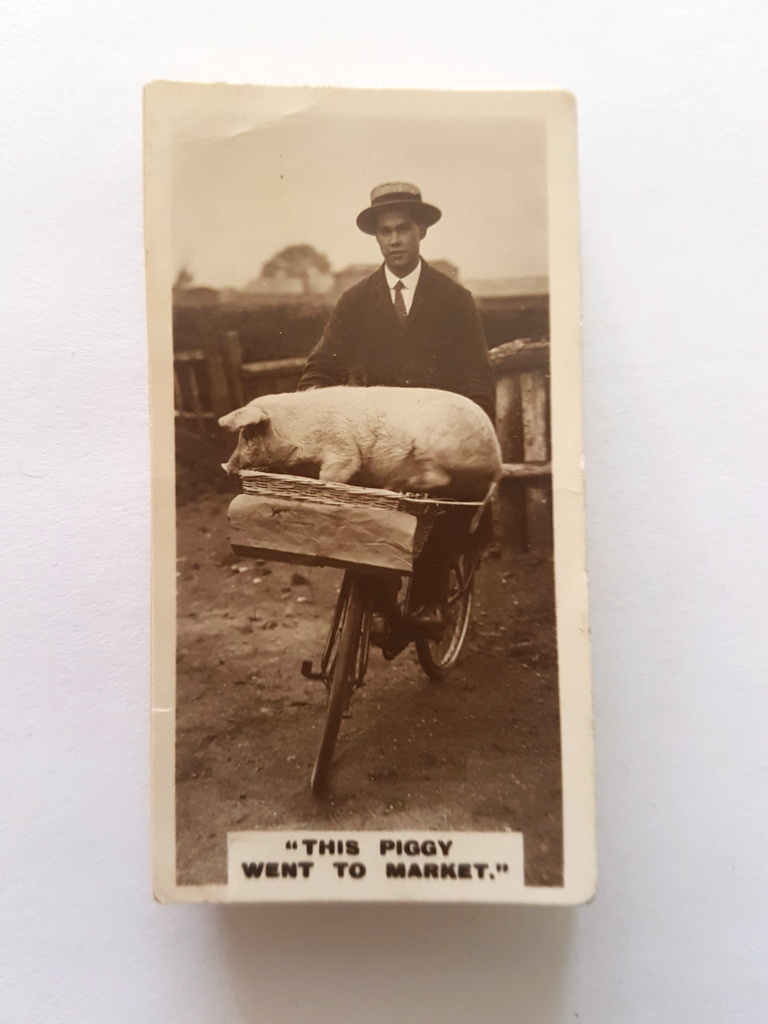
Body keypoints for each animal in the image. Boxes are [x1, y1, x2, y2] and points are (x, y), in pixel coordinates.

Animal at [218, 385, 505, 501]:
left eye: (248, 435)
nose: (226, 467)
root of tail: (497, 463)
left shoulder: (341, 446)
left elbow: (336, 472)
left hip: (436, 444)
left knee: (438, 477)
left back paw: (398, 485)